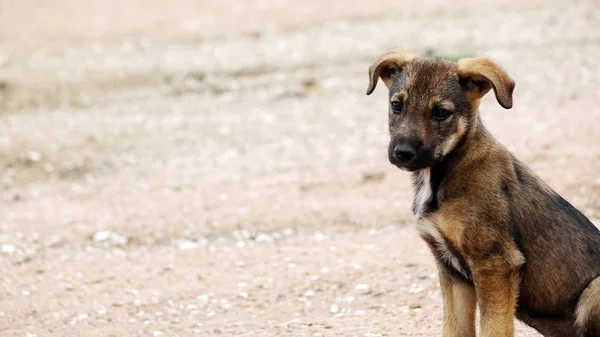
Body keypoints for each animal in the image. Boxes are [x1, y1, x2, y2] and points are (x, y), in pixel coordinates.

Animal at [366, 48, 600, 334]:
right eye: (396, 105)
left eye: (441, 113)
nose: (403, 152)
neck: (446, 169)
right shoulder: (451, 271)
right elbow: (454, 329)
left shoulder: (495, 263)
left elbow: (493, 329)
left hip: (593, 291)